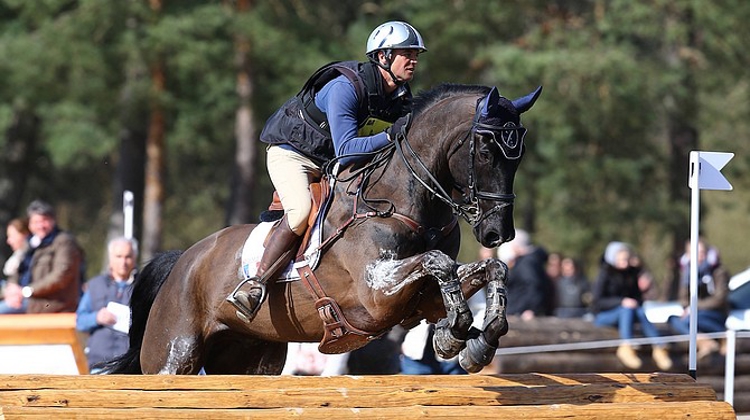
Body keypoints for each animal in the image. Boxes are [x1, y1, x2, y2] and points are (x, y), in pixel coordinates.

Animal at [103, 82, 544, 374]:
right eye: (485, 151)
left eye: (519, 155)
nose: (498, 234)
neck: (398, 198)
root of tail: (183, 262)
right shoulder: (376, 293)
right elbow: (438, 262)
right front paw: (453, 336)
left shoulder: (420, 301)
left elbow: (490, 269)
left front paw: (474, 343)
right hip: (173, 354)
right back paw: (248, 292)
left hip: (251, 356)